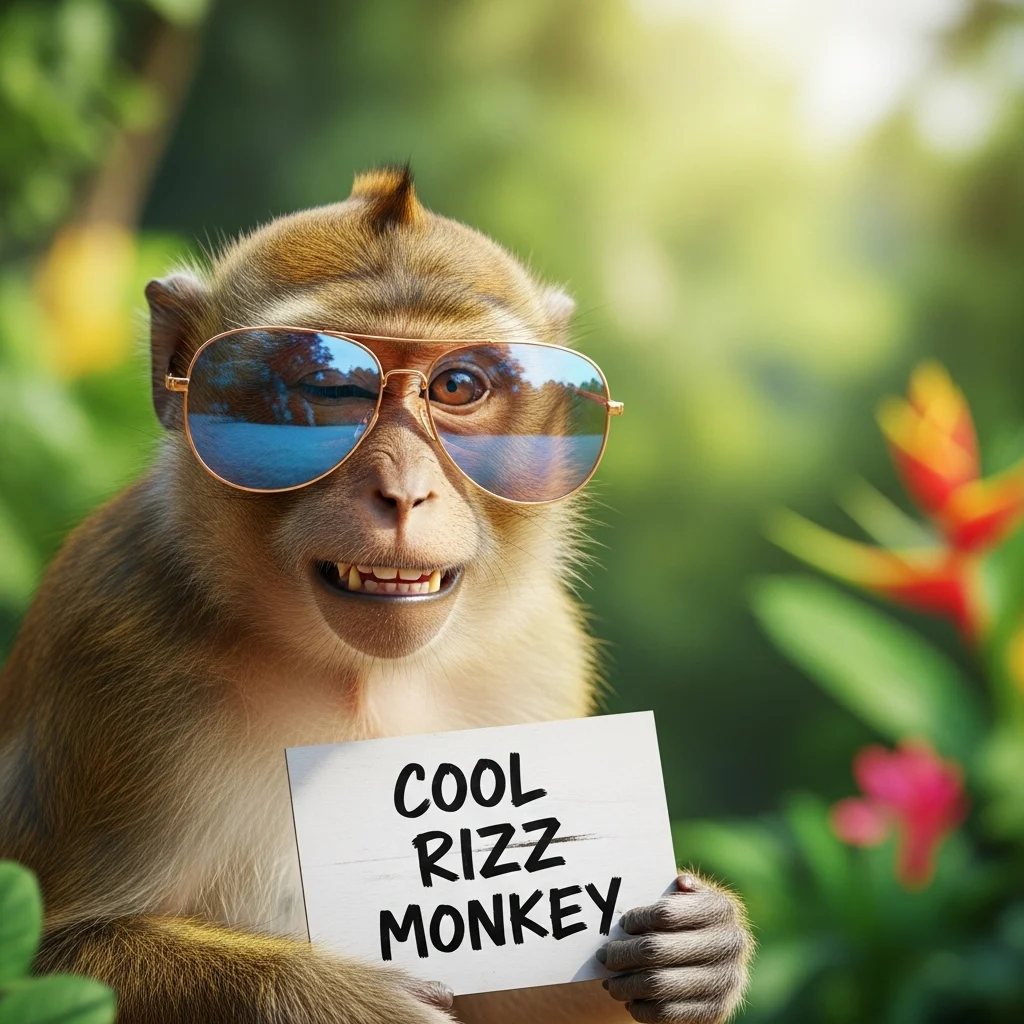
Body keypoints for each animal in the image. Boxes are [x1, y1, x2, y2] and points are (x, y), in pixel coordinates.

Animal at [0, 166, 752, 1024]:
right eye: (333, 386)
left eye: (458, 385)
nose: (403, 490)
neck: (363, 678)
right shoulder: (112, 654)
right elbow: (48, 962)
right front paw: (340, 1000)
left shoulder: (538, 658)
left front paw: (700, 946)